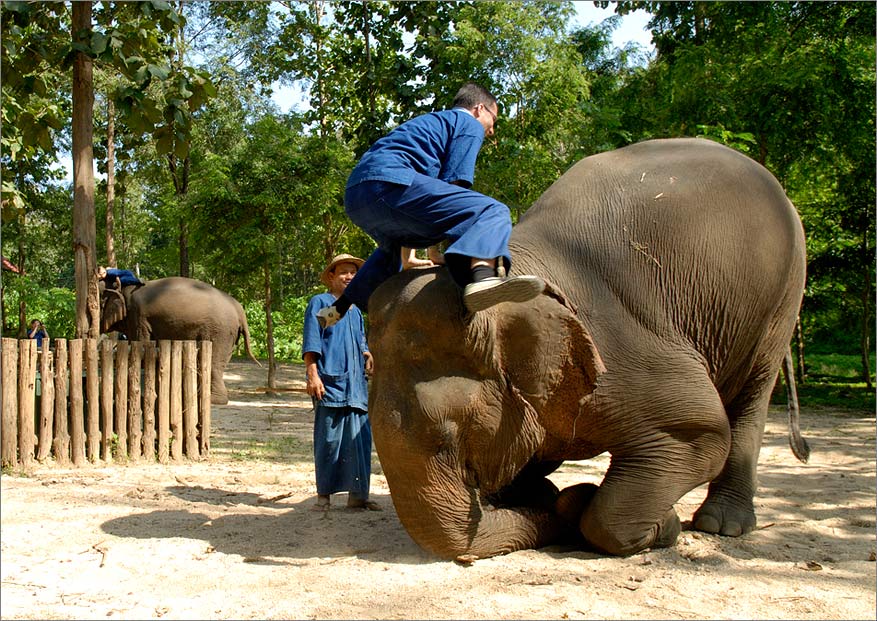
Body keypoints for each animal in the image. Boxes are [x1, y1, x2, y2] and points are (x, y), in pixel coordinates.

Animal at [101, 274, 256, 402]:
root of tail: (240, 310)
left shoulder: (137, 316)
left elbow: (142, 346)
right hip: (228, 334)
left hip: (221, 331)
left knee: (215, 363)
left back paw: (213, 400)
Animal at [364, 138, 808, 560]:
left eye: (449, 437)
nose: (557, 505)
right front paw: (554, 499)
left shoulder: (624, 350)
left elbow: (702, 432)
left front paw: (643, 522)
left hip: (782, 299)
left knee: (750, 399)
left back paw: (722, 525)